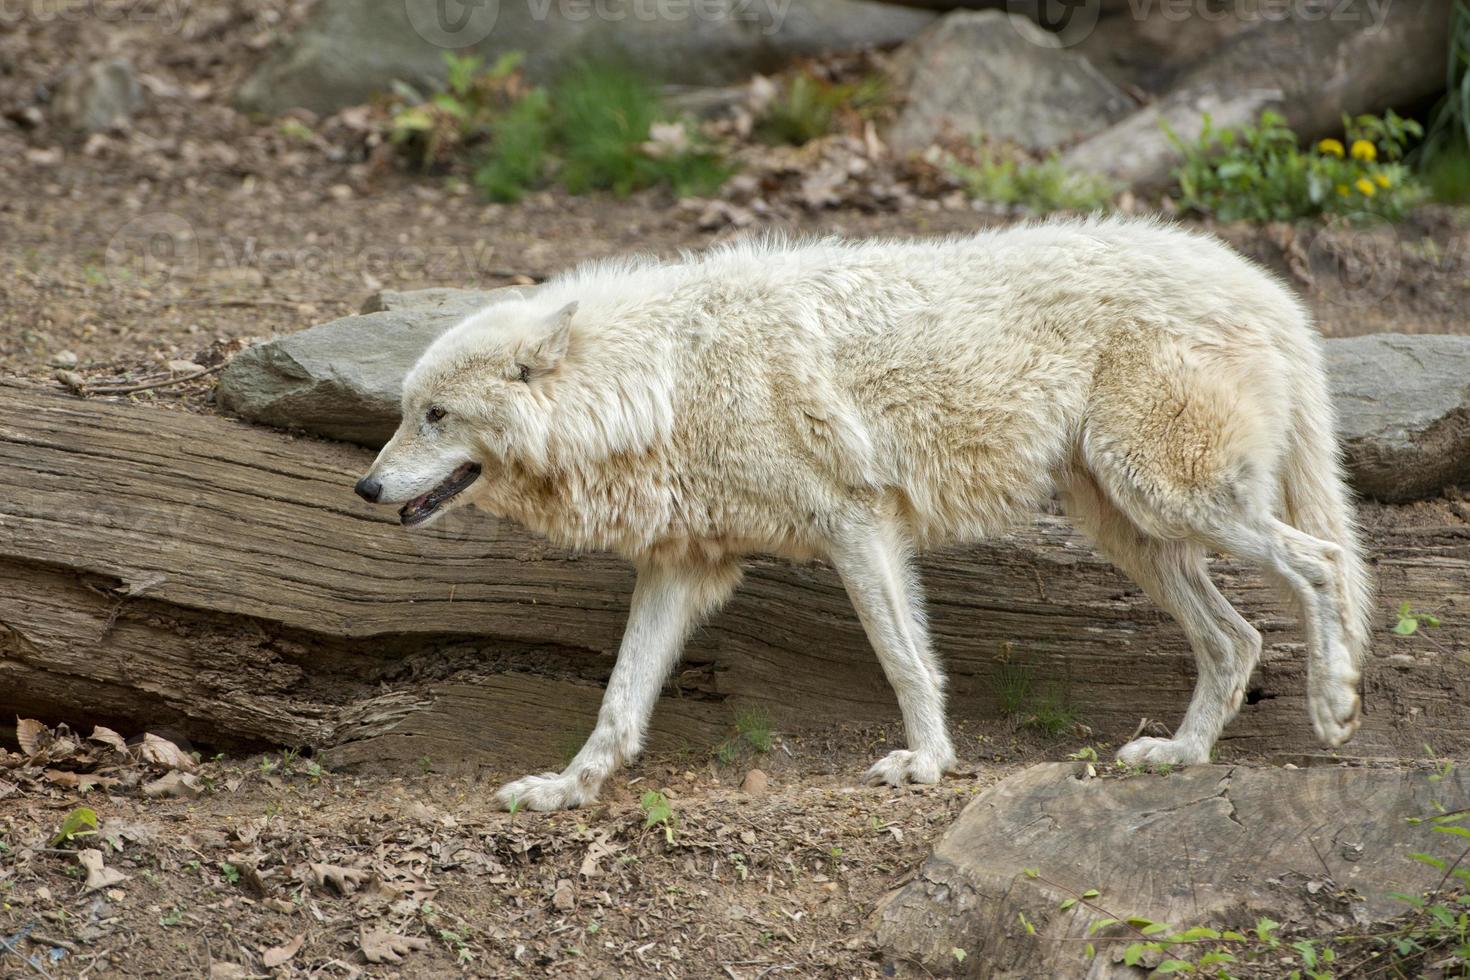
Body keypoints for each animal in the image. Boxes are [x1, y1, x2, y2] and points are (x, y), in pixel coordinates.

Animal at [352, 215, 1364, 811]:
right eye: (405, 412)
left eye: (433, 416)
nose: (365, 489)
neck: (668, 382)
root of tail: (1268, 289)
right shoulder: (683, 568)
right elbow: (618, 700)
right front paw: (567, 789)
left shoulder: (857, 526)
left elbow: (906, 662)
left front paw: (927, 765)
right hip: (1131, 527)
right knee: (1237, 638)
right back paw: (1183, 755)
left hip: (1170, 499)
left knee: (1319, 564)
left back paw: (1334, 707)